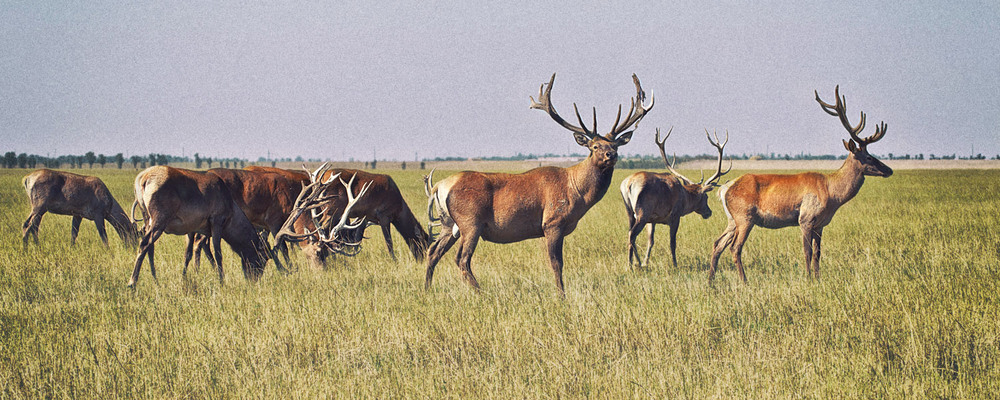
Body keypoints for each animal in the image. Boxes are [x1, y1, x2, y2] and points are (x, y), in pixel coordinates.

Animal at [424, 74, 652, 294]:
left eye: (615, 145)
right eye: (594, 146)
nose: (611, 155)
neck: (577, 193)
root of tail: (440, 186)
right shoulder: (552, 222)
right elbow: (556, 264)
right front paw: (561, 296)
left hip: (448, 224)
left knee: (433, 251)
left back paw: (427, 289)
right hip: (470, 221)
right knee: (461, 258)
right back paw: (481, 293)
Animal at [620, 128, 732, 268]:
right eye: (705, 197)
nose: (709, 212)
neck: (685, 199)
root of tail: (628, 184)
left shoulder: (652, 220)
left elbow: (651, 241)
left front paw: (646, 262)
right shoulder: (675, 216)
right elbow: (672, 243)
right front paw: (675, 264)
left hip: (630, 212)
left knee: (630, 233)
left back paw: (632, 263)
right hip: (642, 212)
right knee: (632, 234)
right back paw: (635, 264)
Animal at [708, 86, 896, 282]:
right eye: (868, 157)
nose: (889, 170)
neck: (832, 194)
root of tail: (724, 189)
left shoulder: (820, 224)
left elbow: (818, 253)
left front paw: (818, 278)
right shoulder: (806, 218)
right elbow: (807, 251)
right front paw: (808, 278)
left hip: (732, 219)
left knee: (717, 244)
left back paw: (711, 281)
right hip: (744, 217)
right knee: (734, 247)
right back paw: (744, 281)